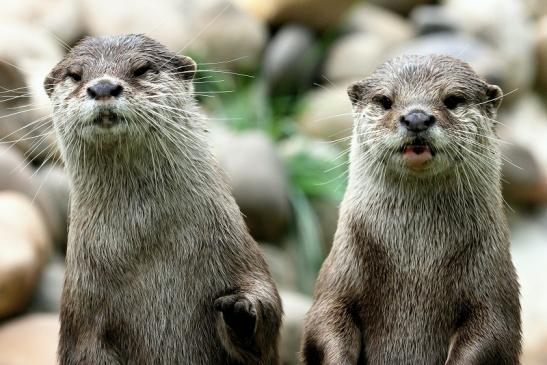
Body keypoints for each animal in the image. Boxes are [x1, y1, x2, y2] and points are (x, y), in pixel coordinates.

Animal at [43, 34, 282, 364]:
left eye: (142, 69)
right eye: (75, 75)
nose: (102, 87)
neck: (148, 248)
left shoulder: (240, 254)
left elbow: (266, 318)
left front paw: (241, 310)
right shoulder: (81, 312)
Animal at [304, 54, 524, 364]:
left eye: (452, 100)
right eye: (385, 100)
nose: (416, 117)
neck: (415, 262)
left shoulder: (492, 289)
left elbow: (492, 333)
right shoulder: (337, 280)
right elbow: (324, 321)